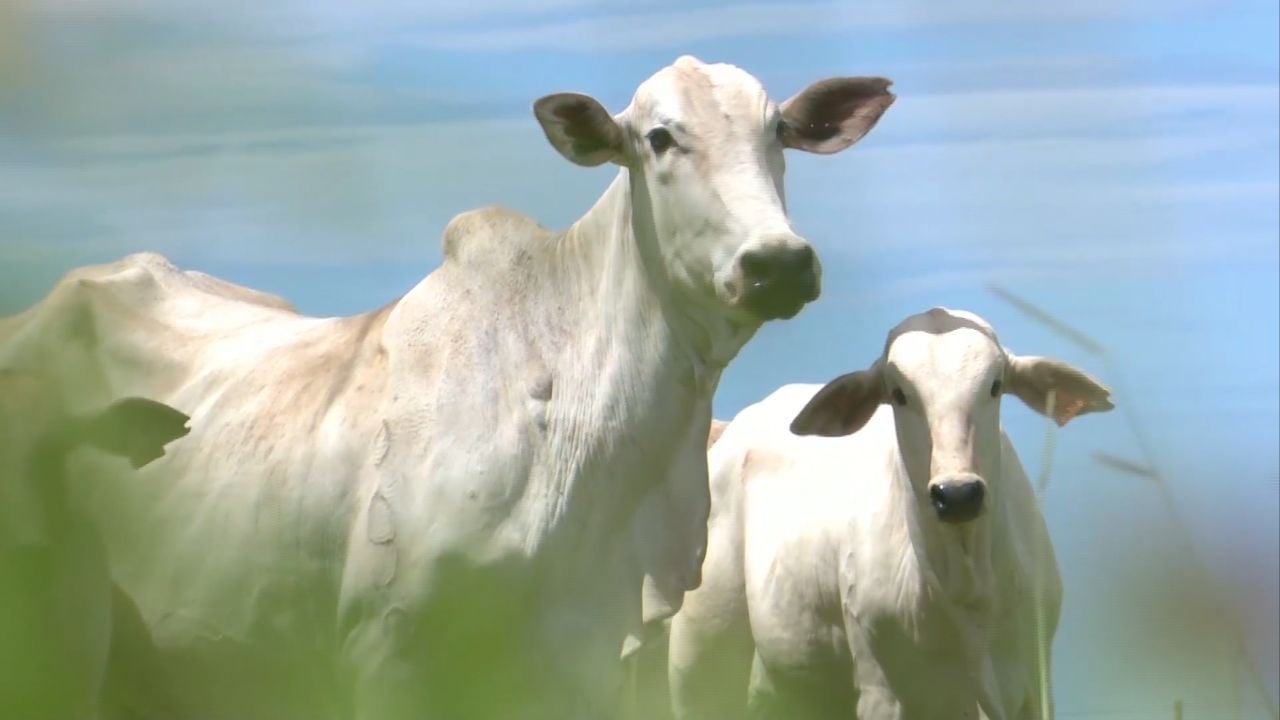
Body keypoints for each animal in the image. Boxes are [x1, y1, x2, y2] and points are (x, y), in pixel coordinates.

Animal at [665, 307, 1116, 717]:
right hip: (699, 659)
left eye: (995, 385)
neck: (966, 588)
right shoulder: (883, 693)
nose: (957, 494)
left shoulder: (1033, 686)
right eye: (898, 394)